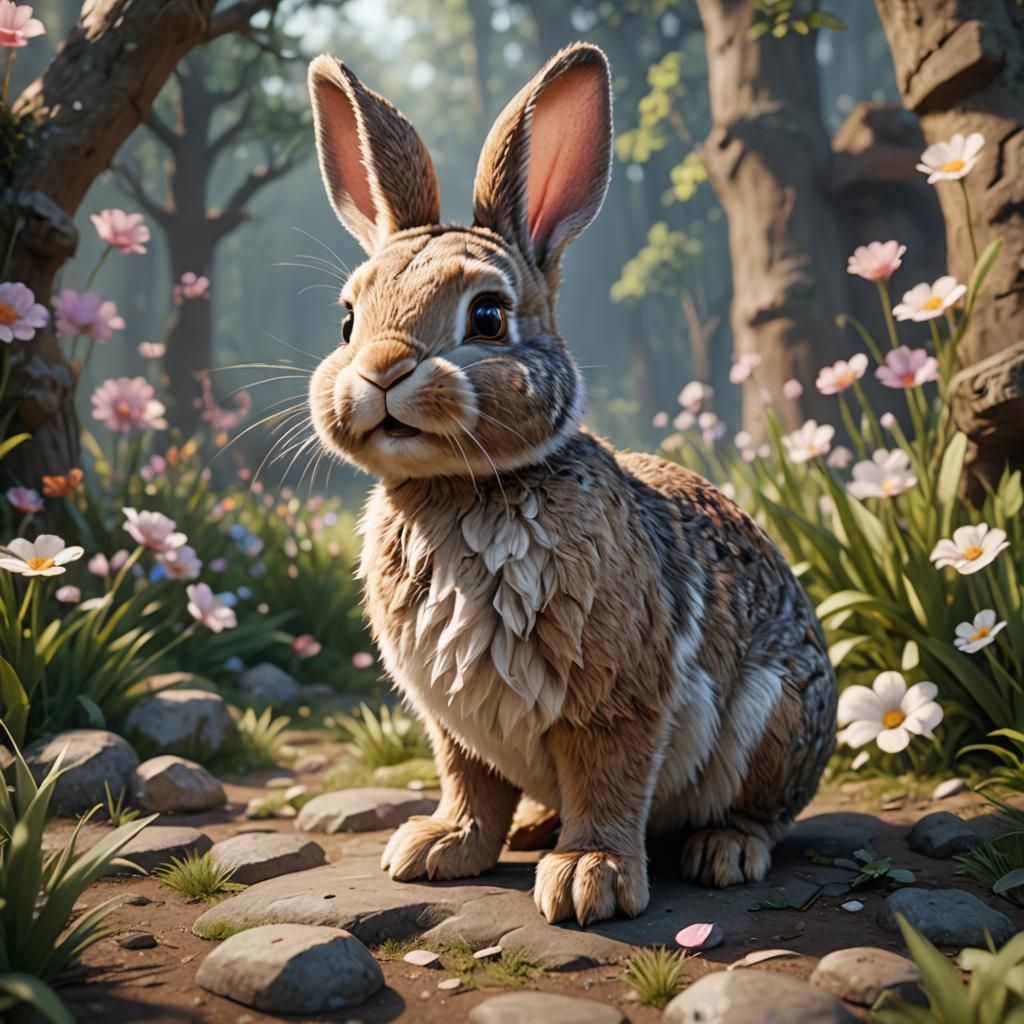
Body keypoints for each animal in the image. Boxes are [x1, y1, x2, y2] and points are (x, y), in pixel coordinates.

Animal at [305, 42, 837, 927]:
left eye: (487, 317)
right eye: (347, 320)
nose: (380, 370)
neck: (462, 487)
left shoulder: (616, 701)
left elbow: (609, 782)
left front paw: (592, 879)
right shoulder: (453, 716)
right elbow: (470, 782)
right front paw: (438, 849)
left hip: (774, 718)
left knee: (760, 812)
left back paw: (722, 850)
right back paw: (532, 831)